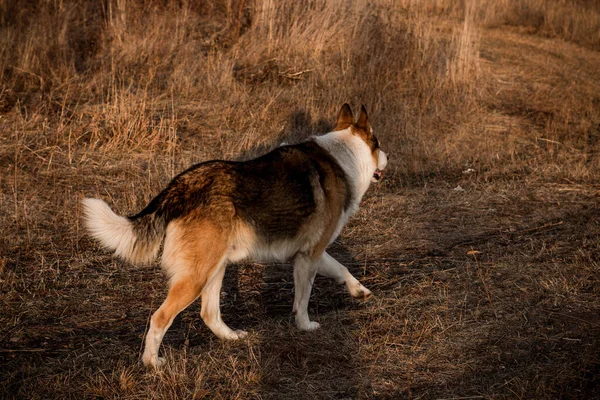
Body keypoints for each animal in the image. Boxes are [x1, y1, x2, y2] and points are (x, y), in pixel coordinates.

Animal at [81, 104, 390, 368]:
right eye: (378, 144)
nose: (388, 158)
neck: (345, 156)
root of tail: (182, 186)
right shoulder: (309, 256)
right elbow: (302, 300)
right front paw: (305, 326)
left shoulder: (310, 253)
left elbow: (342, 269)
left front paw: (359, 291)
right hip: (197, 277)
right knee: (160, 318)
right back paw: (152, 362)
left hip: (215, 269)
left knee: (209, 314)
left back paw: (230, 337)